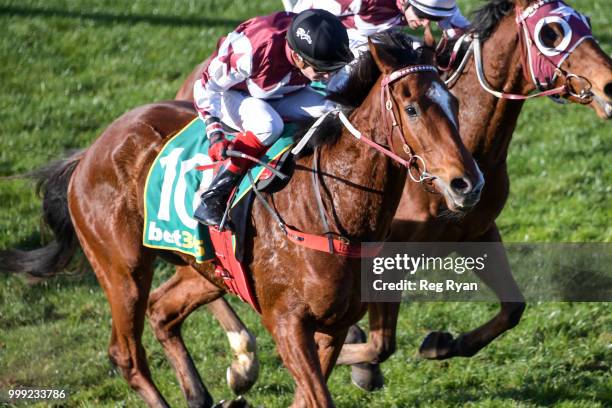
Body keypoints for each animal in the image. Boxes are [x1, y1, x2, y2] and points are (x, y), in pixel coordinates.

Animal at [2, 33, 486, 406]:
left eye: (454, 100)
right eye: (412, 108)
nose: (467, 183)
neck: (328, 209)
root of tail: (91, 150)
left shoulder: (332, 327)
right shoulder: (288, 323)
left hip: (205, 268)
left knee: (163, 312)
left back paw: (205, 392)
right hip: (121, 271)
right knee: (127, 355)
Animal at [175, 0, 612, 394]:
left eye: (588, 21)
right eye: (551, 33)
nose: (609, 84)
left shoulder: (477, 231)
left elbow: (512, 308)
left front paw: (442, 344)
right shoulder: (389, 256)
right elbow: (380, 344)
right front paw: (360, 364)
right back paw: (242, 360)